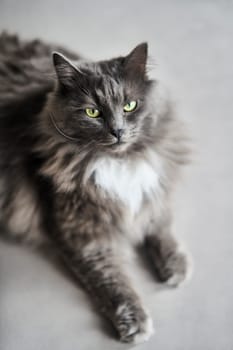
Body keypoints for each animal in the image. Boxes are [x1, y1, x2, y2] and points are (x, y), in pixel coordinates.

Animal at [0, 32, 191, 344]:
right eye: (92, 112)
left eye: (129, 106)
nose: (118, 132)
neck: (119, 163)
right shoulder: (83, 233)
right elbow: (112, 279)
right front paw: (135, 322)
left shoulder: (150, 190)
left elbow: (160, 225)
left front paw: (176, 266)